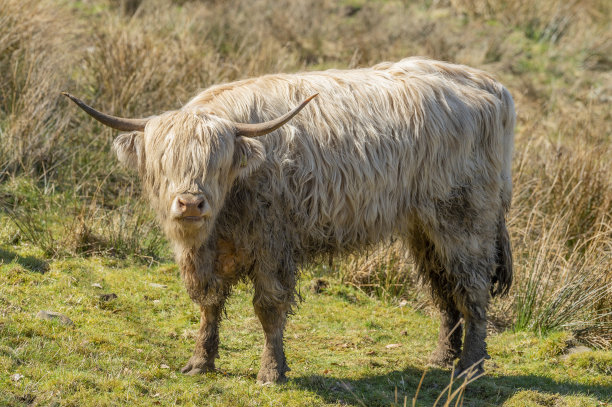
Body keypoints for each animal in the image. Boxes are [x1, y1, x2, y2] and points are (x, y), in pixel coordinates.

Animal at [64, 56, 512, 382]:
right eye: (163, 160)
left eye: (217, 162)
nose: (191, 204)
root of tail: (487, 83)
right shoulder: (207, 256)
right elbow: (209, 303)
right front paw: (200, 363)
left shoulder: (273, 243)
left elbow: (269, 307)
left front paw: (271, 371)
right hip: (423, 227)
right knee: (442, 286)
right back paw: (442, 359)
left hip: (464, 219)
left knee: (471, 290)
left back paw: (471, 367)